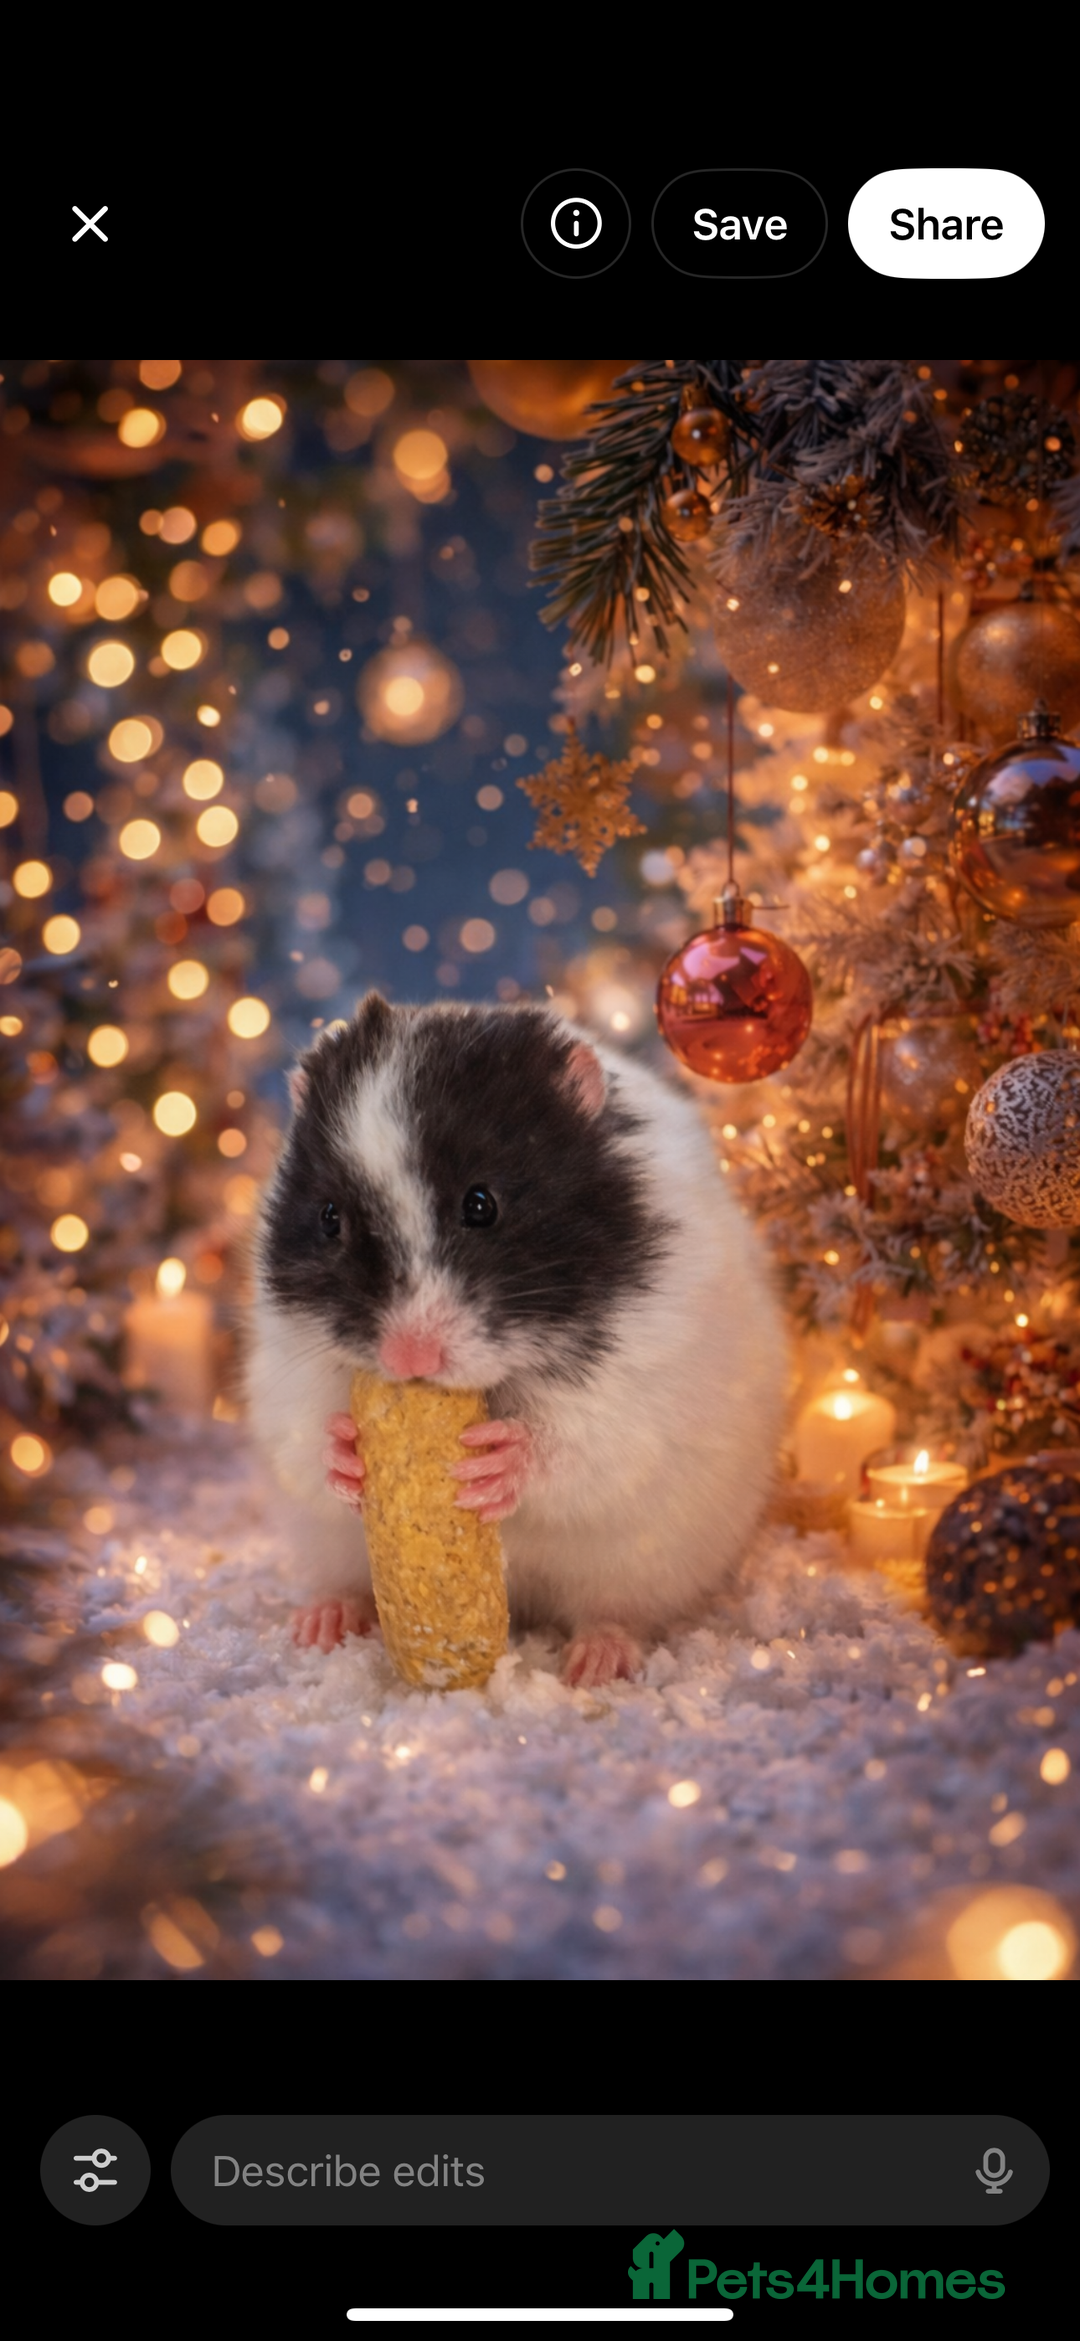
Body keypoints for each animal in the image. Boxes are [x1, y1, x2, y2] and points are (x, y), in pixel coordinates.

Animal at [246, 991, 787, 1688]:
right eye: (328, 1218)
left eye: (482, 1204)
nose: (408, 1357)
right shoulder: (287, 1367)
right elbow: (310, 1436)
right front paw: (347, 1450)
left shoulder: (642, 1389)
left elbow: (575, 1444)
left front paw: (493, 1463)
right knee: (342, 1584)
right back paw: (319, 1623)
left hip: (647, 1565)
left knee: (616, 1613)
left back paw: (595, 1665)